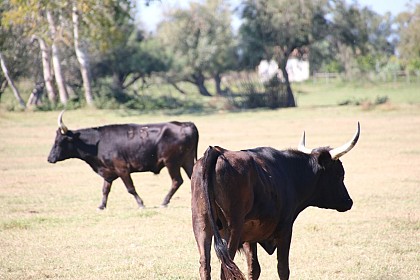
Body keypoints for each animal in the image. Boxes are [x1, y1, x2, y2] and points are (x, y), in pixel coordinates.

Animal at [48, 110, 199, 209]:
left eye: (59, 141)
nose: (50, 158)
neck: (98, 143)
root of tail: (186, 124)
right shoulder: (108, 172)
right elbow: (105, 189)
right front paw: (101, 206)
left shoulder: (122, 169)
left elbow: (130, 188)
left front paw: (141, 204)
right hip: (187, 161)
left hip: (171, 163)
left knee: (177, 181)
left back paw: (164, 202)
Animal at [192, 123, 360, 278]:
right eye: (339, 174)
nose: (349, 201)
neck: (290, 173)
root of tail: (217, 151)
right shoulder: (285, 230)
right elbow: (283, 269)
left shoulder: (250, 236)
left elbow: (254, 269)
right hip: (232, 228)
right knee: (225, 269)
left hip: (201, 225)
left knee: (205, 266)